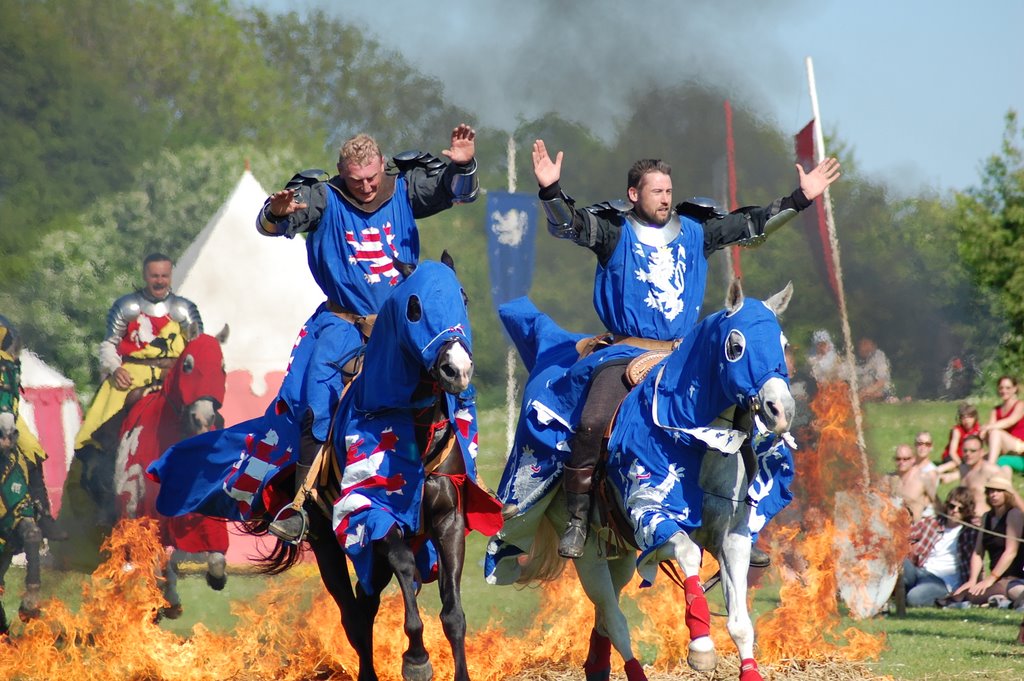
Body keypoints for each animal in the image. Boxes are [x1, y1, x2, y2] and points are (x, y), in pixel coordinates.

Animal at [489, 280, 798, 679]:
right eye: (736, 346)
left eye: (783, 344)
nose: (781, 410)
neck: (697, 439)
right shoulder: (652, 517)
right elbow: (688, 552)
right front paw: (701, 647)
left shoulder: (733, 538)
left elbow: (741, 623)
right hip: (587, 555)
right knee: (615, 619)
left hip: (618, 553)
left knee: (605, 618)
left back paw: (596, 664)